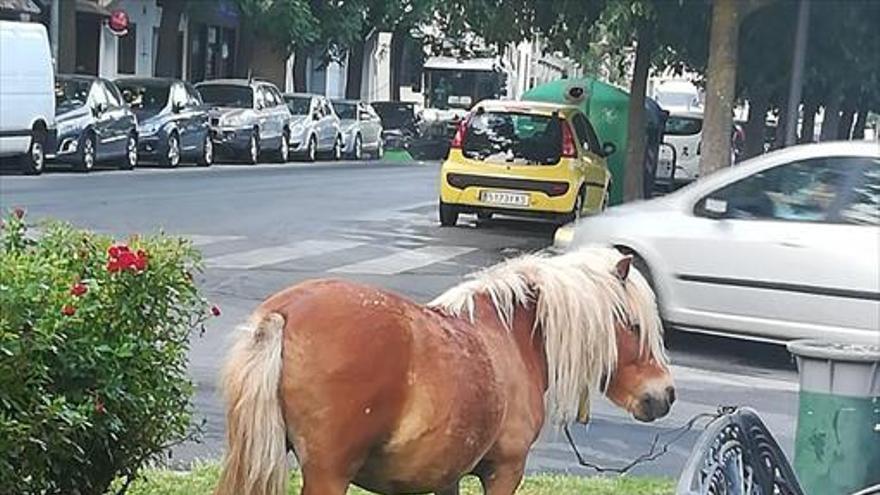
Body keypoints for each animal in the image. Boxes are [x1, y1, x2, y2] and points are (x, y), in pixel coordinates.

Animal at [215, 246, 672, 494]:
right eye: (634, 325)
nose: (664, 395)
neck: (513, 335)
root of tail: (285, 313)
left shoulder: (447, 477)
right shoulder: (505, 473)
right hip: (329, 475)